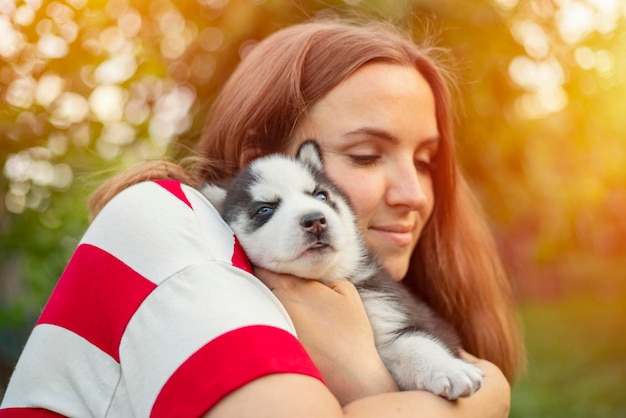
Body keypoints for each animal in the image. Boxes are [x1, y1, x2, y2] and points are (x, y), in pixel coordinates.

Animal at [204, 141, 482, 402]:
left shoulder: (390, 310)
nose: (315, 220)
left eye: (321, 196)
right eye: (265, 209)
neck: (323, 278)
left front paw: (448, 369)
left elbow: (415, 342)